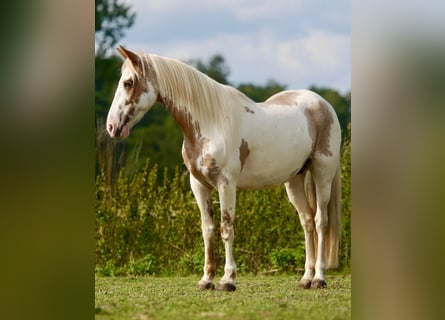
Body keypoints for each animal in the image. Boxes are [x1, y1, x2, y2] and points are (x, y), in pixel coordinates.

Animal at [106, 46, 342, 292]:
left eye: (128, 82)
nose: (111, 127)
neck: (210, 123)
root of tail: (323, 105)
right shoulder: (199, 185)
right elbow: (208, 230)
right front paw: (206, 279)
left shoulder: (226, 184)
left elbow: (226, 228)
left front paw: (228, 280)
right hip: (294, 180)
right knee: (307, 222)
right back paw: (306, 278)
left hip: (323, 175)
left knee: (320, 221)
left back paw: (319, 278)